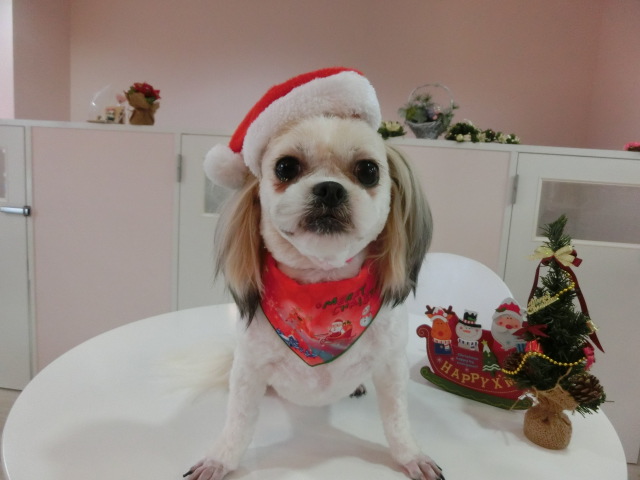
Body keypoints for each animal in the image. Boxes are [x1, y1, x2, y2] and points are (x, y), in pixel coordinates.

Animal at [184, 68, 443, 480]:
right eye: (286, 167)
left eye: (368, 170)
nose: (329, 190)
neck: (322, 285)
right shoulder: (249, 371)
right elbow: (238, 423)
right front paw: (219, 459)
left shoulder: (391, 367)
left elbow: (397, 421)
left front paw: (411, 456)